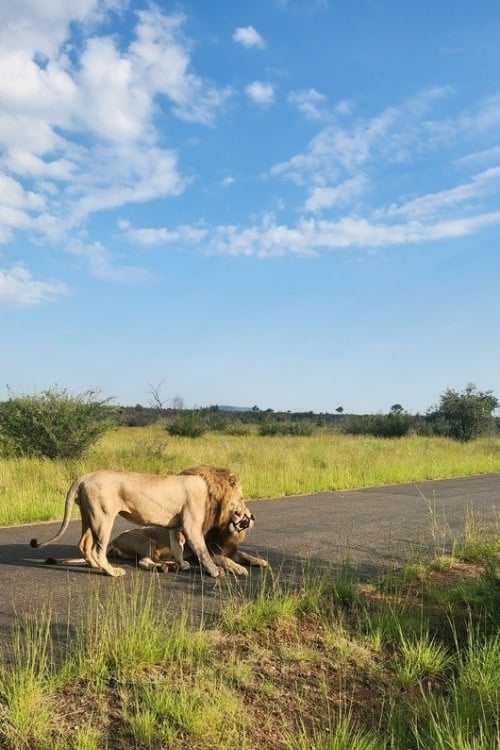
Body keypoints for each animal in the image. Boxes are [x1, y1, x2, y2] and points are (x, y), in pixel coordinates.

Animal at [31, 465, 250, 578]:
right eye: (241, 497)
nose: (250, 516)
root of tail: (84, 476)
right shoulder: (191, 524)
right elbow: (202, 551)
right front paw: (215, 571)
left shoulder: (176, 526)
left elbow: (177, 547)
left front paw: (183, 564)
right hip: (103, 517)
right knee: (99, 550)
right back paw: (112, 571)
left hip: (88, 515)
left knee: (83, 544)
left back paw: (94, 566)